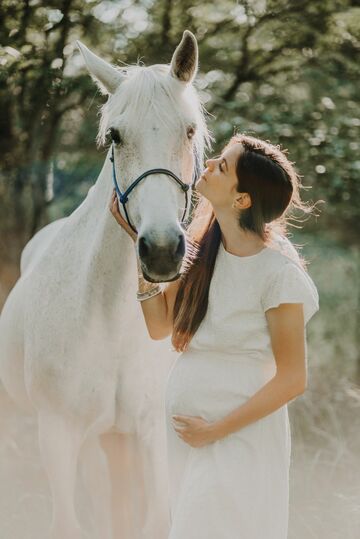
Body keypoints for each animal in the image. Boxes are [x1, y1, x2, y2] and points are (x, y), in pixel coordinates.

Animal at [0, 30, 210, 539]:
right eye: (115, 135)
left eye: (189, 131)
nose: (160, 250)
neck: (111, 321)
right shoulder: (58, 436)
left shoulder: (151, 433)